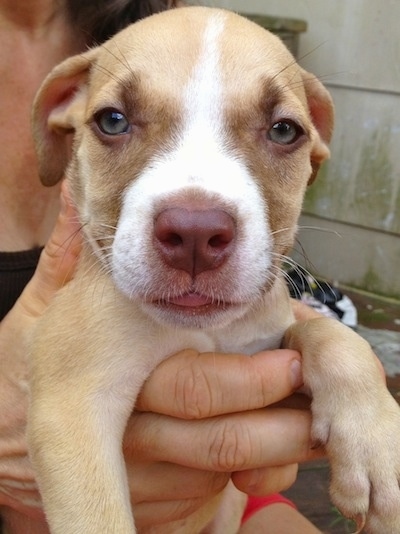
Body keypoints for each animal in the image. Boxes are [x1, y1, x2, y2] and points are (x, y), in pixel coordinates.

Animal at [28, 5, 400, 534]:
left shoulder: (271, 347)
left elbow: (329, 335)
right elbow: (99, 517)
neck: (206, 331)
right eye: (113, 121)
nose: (194, 234)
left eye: (284, 130)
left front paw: (375, 446)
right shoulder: (71, 409)